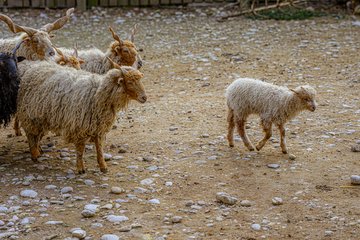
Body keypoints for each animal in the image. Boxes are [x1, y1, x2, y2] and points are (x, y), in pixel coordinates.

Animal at [17, 59, 147, 173]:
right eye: (129, 82)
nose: (144, 98)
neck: (97, 95)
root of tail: (34, 67)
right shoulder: (80, 126)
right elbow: (80, 149)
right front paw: (80, 168)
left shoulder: (98, 127)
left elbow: (100, 148)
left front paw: (103, 166)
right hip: (30, 114)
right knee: (30, 133)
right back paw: (34, 154)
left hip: (41, 116)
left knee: (37, 134)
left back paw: (38, 150)